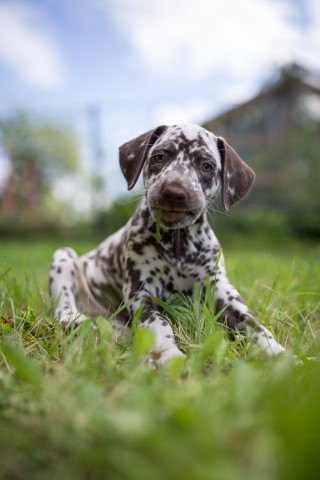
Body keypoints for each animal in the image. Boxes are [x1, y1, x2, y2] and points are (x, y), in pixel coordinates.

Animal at [50, 124, 284, 364]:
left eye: (206, 166)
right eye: (160, 156)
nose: (174, 191)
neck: (178, 246)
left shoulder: (220, 289)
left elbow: (254, 324)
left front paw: (278, 353)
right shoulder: (140, 292)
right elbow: (158, 324)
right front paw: (168, 354)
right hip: (64, 256)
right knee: (63, 300)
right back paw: (72, 317)